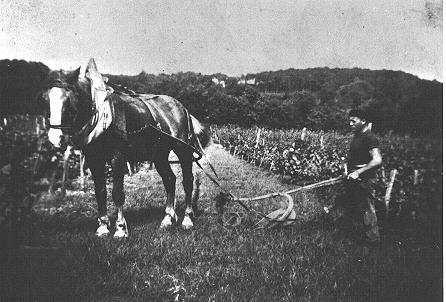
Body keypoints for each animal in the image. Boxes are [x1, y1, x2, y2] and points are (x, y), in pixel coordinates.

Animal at [41, 59, 213, 237]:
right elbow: (100, 191)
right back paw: (168, 218)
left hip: (183, 150)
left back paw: (187, 219)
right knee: (170, 179)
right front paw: (103, 226)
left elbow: (117, 193)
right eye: (46, 100)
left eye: (68, 101)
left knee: (188, 182)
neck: (102, 116)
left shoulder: (118, 157)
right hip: (159, 155)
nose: (55, 138)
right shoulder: (94, 159)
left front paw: (120, 229)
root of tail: (183, 108)